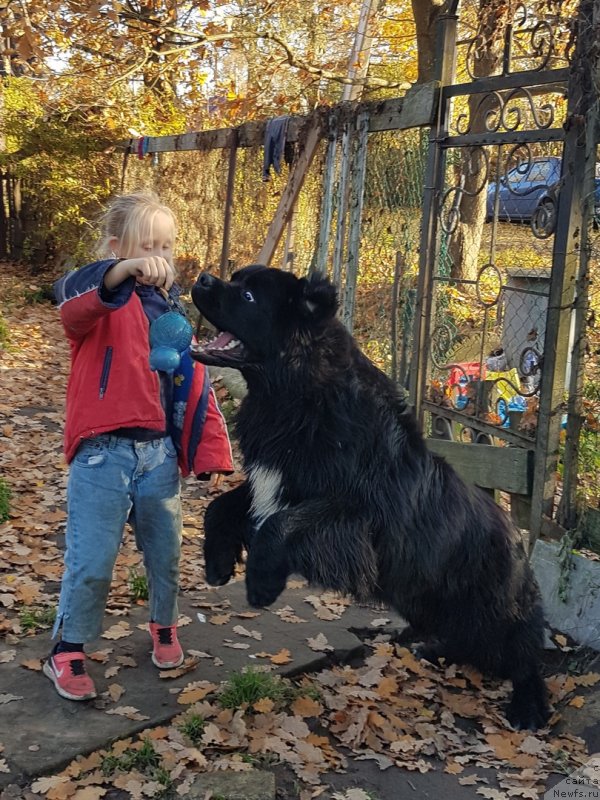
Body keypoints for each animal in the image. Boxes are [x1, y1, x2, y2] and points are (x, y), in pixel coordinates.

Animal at [191, 266, 548, 728]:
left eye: (248, 296)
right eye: (236, 279)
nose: (202, 278)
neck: (296, 396)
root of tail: (520, 542)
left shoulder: (354, 512)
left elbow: (278, 525)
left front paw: (261, 585)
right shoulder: (273, 481)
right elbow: (222, 506)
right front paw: (218, 563)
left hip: (498, 609)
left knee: (523, 656)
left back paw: (528, 705)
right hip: (427, 600)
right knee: (469, 642)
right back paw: (431, 648)